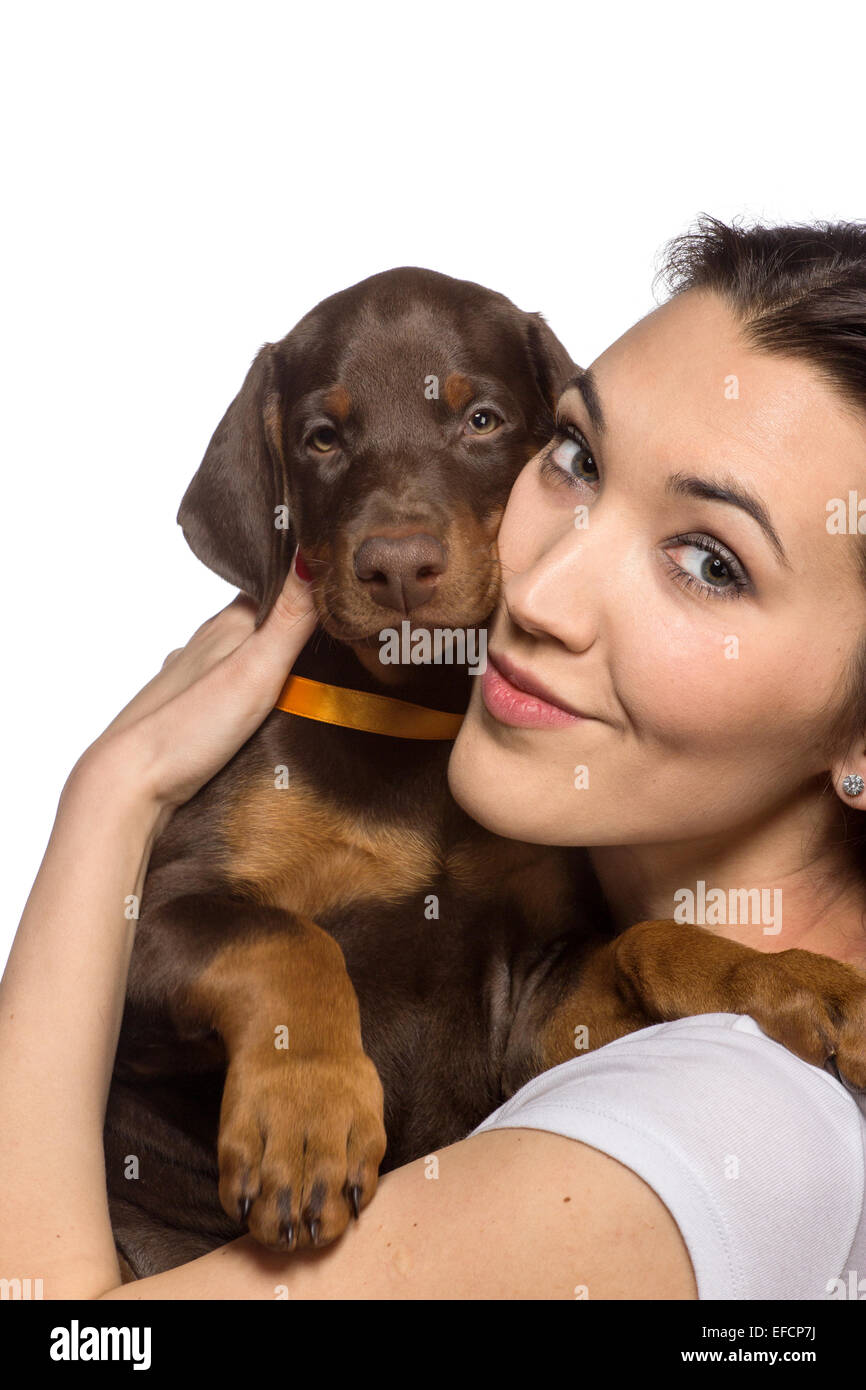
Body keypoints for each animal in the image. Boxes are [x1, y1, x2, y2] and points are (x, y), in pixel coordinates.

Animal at [104, 265, 866, 1273]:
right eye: (320, 438)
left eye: (482, 421)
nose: (397, 566)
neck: (416, 724)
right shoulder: (157, 922)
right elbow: (285, 937)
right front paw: (305, 1117)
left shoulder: (531, 1008)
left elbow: (647, 940)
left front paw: (805, 982)